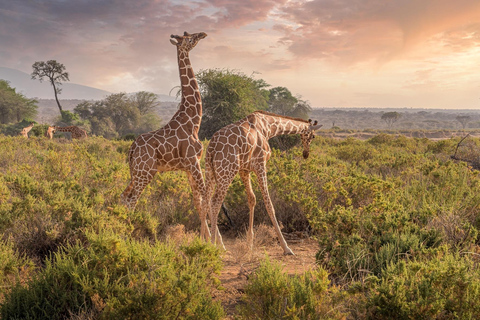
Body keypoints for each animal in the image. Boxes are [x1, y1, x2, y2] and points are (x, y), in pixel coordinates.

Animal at [120, 31, 214, 238]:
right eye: (189, 38)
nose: (203, 34)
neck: (193, 121)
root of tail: (131, 149)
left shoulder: (188, 167)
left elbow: (197, 201)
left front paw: (204, 238)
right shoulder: (194, 162)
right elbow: (206, 196)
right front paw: (216, 241)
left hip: (136, 173)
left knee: (123, 195)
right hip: (145, 173)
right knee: (131, 199)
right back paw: (127, 234)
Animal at [203, 110, 322, 255]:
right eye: (313, 136)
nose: (306, 154)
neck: (268, 127)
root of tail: (211, 148)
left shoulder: (244, 169)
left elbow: (252, 199)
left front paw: (249, 243)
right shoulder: (260, 164)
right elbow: (269, 204)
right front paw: (286, 248)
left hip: (210, 171)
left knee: (205, 201)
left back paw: (202, 241)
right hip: (226, 172)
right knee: (215, 202)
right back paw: (214, 246)